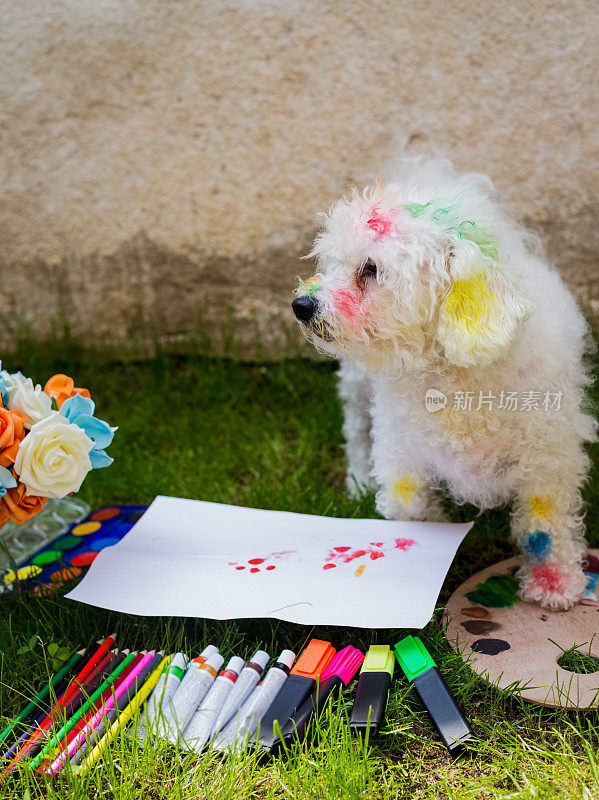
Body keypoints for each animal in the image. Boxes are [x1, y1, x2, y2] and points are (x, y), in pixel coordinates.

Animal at [292, 161, 596, 612]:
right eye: (329, 264)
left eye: (371, 269)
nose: (301, 305)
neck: (455, 378)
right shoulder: (402, 453)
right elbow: (409, 505)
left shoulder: (549, 458)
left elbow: (546, 525)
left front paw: (555, 584)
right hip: (358, 387)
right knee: (357, 431)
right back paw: (360, 479)